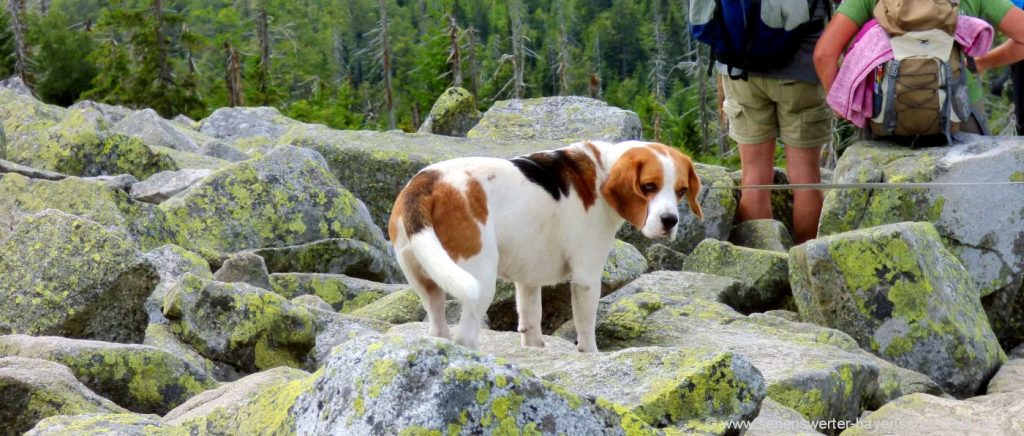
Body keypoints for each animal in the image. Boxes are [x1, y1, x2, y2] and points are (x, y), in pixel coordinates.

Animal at [387, 141, 700, 352]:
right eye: (648, 187)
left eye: (681, 190)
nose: (670, 221)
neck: (602, 170)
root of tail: (425, 184)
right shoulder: (586, 278)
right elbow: (586, 327)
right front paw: (591, 355)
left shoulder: (528, 279)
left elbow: (531, 318)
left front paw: (534, 348)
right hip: (479, 280)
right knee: (465, 335)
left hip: (426, 282)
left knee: (439, 328)